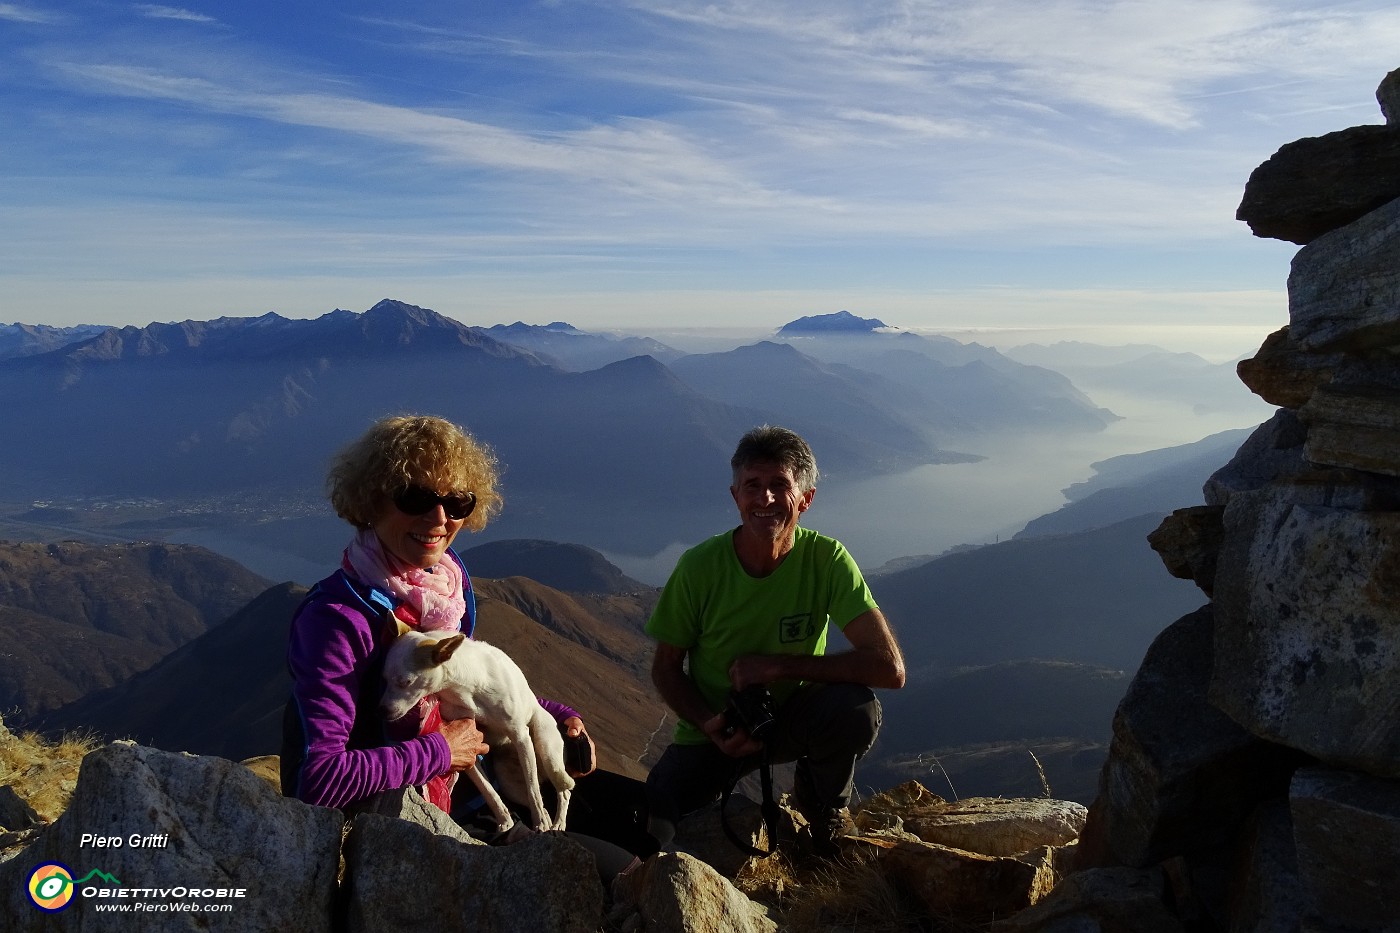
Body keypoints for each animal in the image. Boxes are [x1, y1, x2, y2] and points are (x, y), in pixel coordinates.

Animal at [378, 627, 574, 829]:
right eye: (384, 678)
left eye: (405, 682)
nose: (381, 710)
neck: (465, 689)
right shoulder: (469, 747)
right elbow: (488, 790)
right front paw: (505, 820)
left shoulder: (520, 736)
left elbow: (533, 788)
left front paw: (538, 822)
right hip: (509, 782)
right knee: (541, 801)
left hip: (546, 751)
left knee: (561, 791)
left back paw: (557, 824)